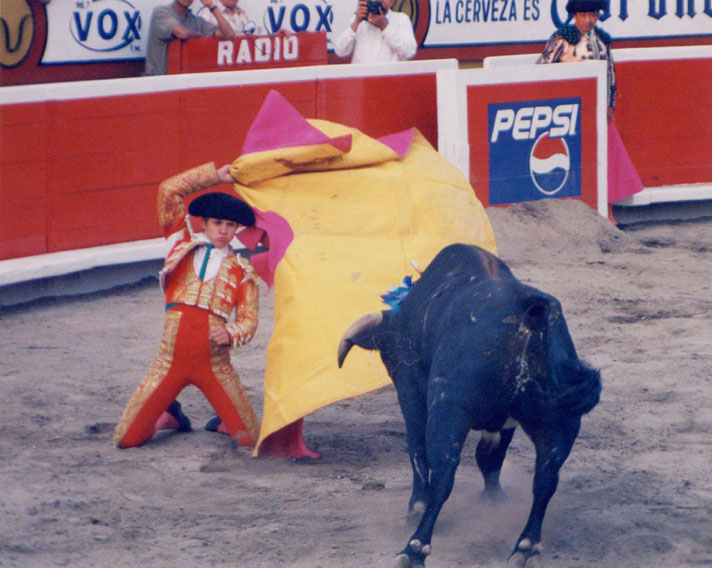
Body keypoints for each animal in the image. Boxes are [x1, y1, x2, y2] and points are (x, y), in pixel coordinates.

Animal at [338, 244, 600, 568]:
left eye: (388, 353)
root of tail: (531, 314)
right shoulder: (505, 422)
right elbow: (490, 458)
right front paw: (494, 498)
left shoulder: (413, 392)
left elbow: (417, 450)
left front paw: (416, 506)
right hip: (560, 423)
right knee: (545, 480)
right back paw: (524, 547)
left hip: (448, 412)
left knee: (443, 474)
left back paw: (413, 549)